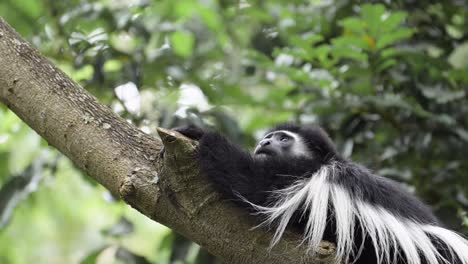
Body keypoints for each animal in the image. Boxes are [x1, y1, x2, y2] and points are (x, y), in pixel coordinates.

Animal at [175, 124, 468, 264]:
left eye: (283, 138)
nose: (263, 142)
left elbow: (253, 186)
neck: (323, 161)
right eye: (268, 138)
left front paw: (199, 133)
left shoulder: (298, 176)